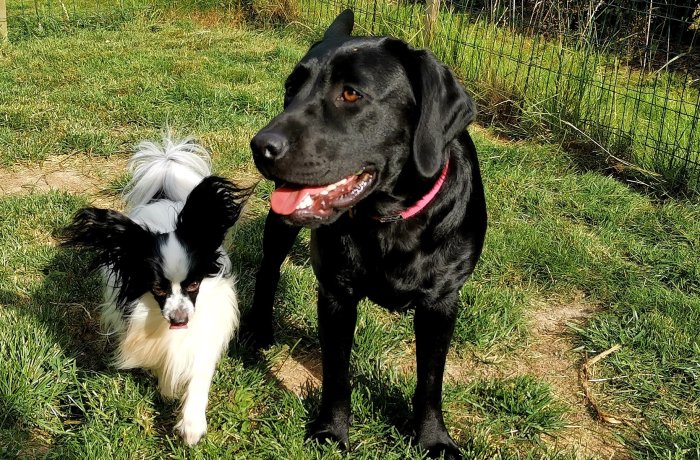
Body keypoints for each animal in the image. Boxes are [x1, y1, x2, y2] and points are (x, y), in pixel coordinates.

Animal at [61, 137, 250, 446]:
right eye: (158, 289)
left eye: (194, 285)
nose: (179, 319)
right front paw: (166, 387)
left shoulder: (206, 330)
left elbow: (199, 372)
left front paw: (192, 423)